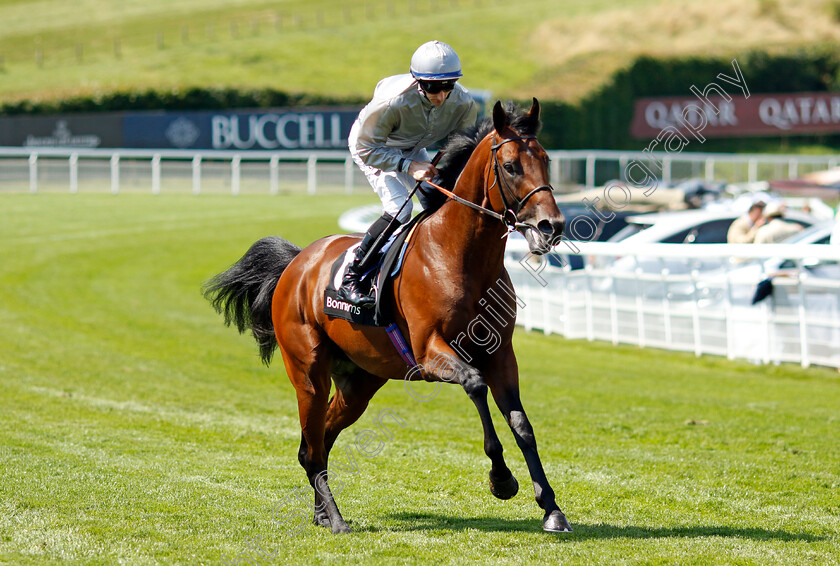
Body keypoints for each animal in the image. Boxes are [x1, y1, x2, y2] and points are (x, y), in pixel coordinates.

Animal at [203, 100, 572, 536]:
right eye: (512, 166)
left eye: (546, 160)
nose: (551, 227)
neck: (458, 255)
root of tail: (296, 262)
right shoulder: (430, 353)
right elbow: (476, 386)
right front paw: (501, 480)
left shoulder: (501, 354)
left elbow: (522, 425)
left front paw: (551, 508)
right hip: (308, 373)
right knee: (312, 449)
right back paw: (337, 519)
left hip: (358, 382)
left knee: (319, 440)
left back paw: (321, 513)